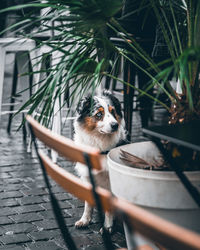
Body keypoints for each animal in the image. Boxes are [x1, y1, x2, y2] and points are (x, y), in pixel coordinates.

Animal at [73, 89, 126, 230]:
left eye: (113, 112)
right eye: (99, 114)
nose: (115, 125)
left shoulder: (109, 182)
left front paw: (107, 227)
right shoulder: (87, 177)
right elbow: (88, 203)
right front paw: (85, 220)